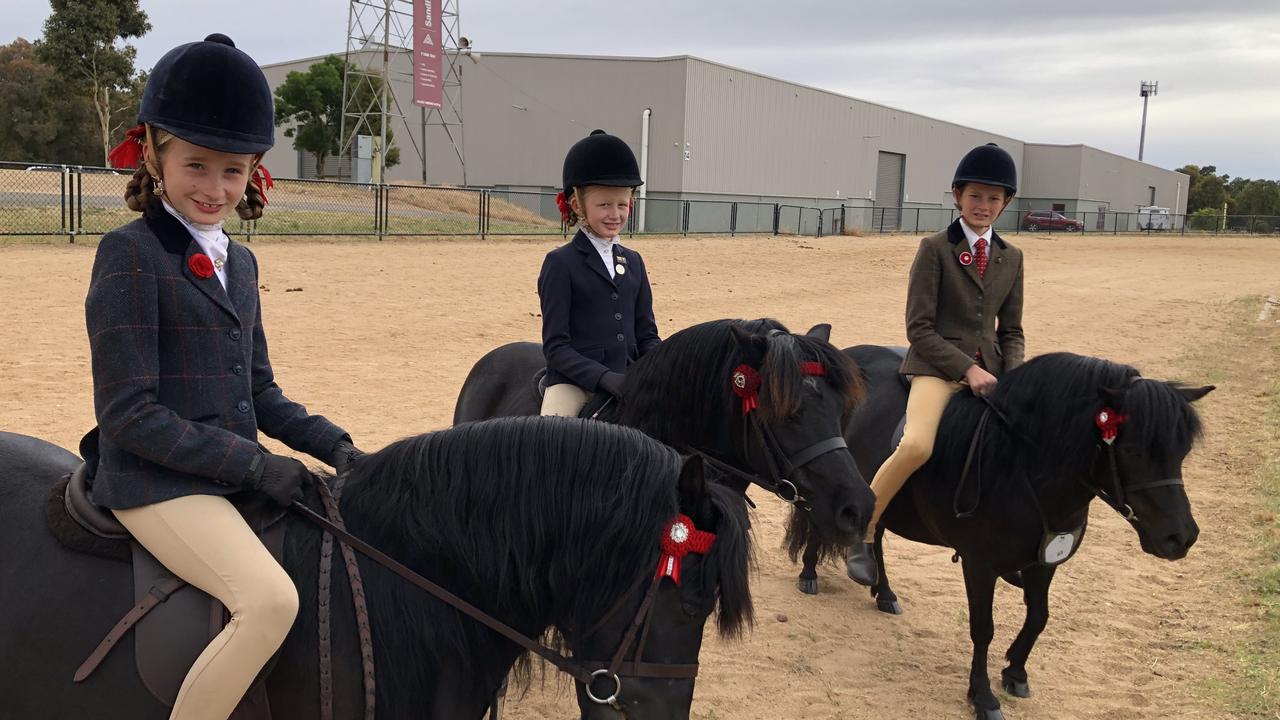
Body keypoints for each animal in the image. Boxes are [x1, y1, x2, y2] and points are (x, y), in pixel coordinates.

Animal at [788, 348, 1208, 717]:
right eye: (1133, 450)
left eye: (1183, 452)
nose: (1180, 537)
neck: (1020, 467)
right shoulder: (979, 564)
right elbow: (983, 629)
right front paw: (983, 696)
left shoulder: (1045, 561)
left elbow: (1039, 616)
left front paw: (1015, 672)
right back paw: (810, 574)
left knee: (875, 538)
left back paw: (884, 592)